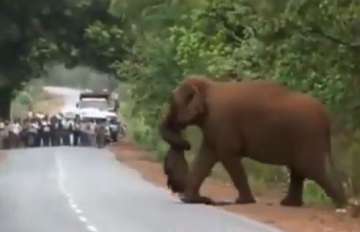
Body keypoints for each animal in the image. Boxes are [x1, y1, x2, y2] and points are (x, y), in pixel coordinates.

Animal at [159, 75, 348, 208]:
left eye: (172, 102)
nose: (186, 144)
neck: (209, 86)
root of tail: (328, 119)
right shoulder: (213, 128)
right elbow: (207, 156)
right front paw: (189, 199)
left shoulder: (222, 123)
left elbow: (227, 156)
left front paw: (244, 201)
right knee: (299, 169)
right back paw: (290, 204)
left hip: (308, 137)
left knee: (312, 168)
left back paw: (342, 207)